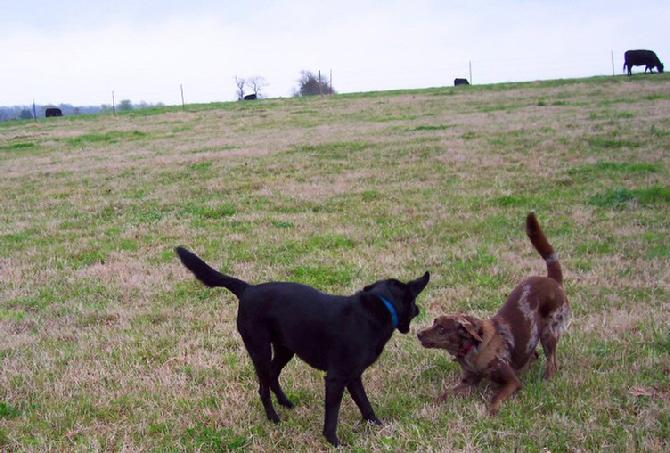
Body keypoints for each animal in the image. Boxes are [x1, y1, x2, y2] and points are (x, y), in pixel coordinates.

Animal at [176, 245, 430, 444]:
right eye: (414, 301)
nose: (419, 309)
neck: (378, 308)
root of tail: (248, 288)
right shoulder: (337, 378)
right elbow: (333, 414)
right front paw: (333, 441)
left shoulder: (353, 376)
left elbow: (365, 404)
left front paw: (379, 426)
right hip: (259, 349)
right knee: (263, 386)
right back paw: (273, 417)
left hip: (285, 349)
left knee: (273, 374)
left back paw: (285, 402)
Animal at [420, 212, 572, 414]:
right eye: (433, 322)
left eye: (442, 329)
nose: (417, 333)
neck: (472, 348)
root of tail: (553, 280)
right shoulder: (468, 382)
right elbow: (446, 394)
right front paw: (432, 404)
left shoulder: (512, 381)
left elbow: (496, 397)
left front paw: (491, 411)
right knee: (535, 356)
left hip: (549, 333)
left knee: (552, 363)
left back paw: (547, 380)